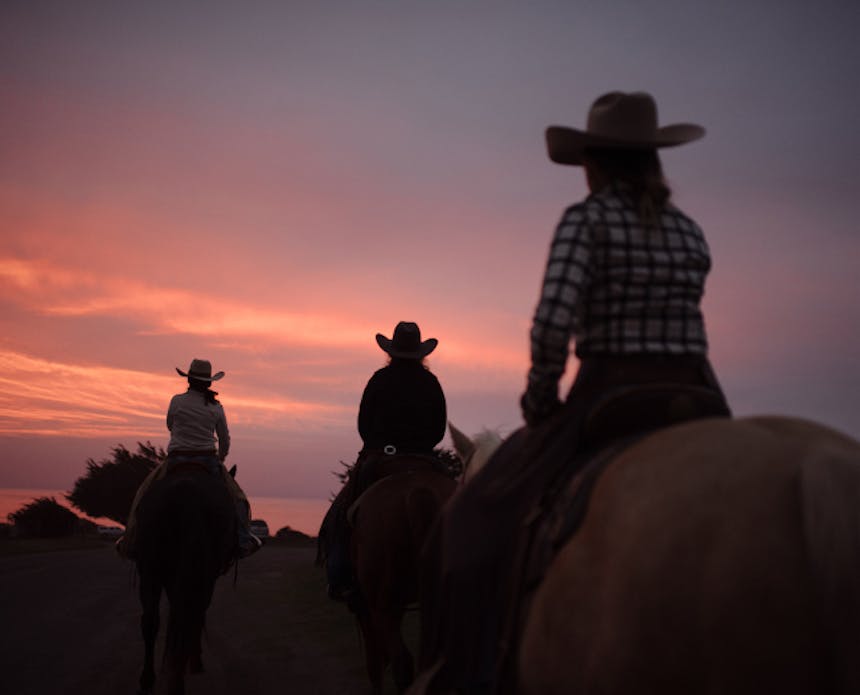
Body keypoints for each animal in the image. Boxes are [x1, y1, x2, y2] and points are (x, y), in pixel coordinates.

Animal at [133, 462, 237, 695]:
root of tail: (185, 491)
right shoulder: (206, 577)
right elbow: (197, 613)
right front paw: (195, 659)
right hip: (199, 572)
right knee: (189, 612)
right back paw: (179, 677)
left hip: (151, 569)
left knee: (151, 620)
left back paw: (148, 680)